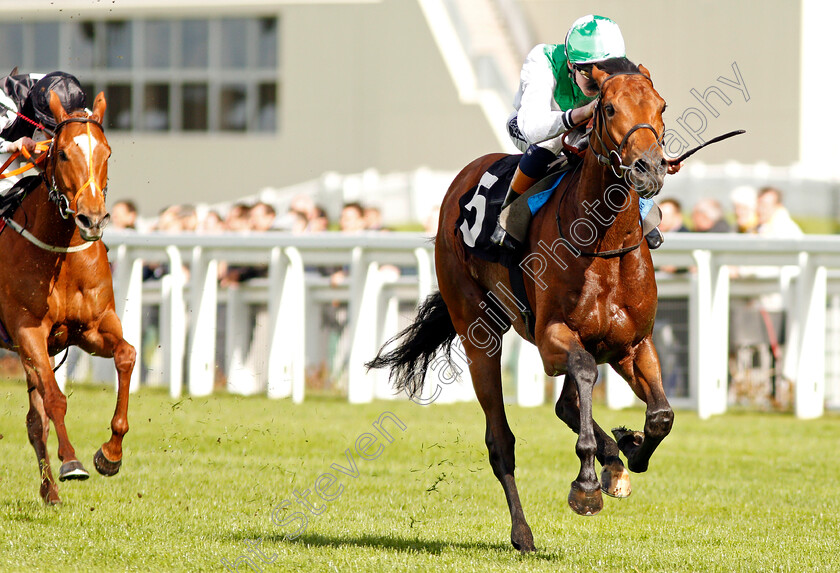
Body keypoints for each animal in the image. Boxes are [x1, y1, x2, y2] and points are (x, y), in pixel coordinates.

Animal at [0, 90, 135, 504]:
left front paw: (110, 454)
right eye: (61, 154)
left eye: (107, 152)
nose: (92, 219)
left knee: (34, 420)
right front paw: (72, 461)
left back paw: (50, 492)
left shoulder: (92, 328)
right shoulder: (27, 331)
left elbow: (126, 355)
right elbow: (56, 399)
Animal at [370, 60, 672, 552]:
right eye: (608, 108)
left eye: (660, 106)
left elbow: (661, 415)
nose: (649, 168)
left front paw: (630, 448)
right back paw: (523, 533)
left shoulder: (633, 344)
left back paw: (614, 461)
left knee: (567, 407)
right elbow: (583, 374)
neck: (604, 244)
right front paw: (587, 485)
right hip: (478, 333)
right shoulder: (552, 339)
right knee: (501, 442)